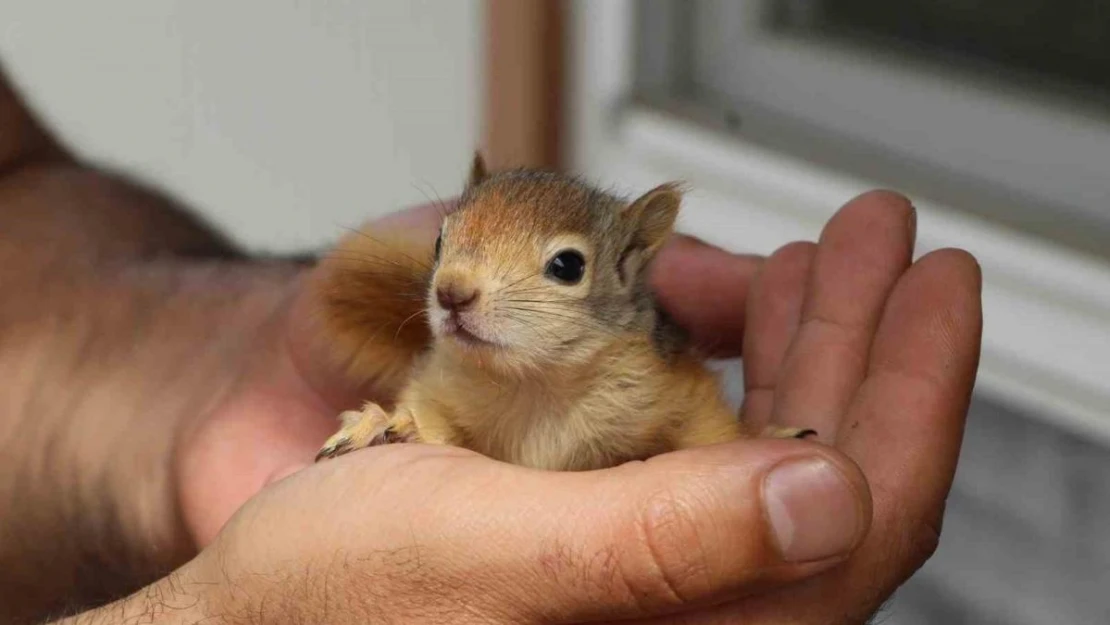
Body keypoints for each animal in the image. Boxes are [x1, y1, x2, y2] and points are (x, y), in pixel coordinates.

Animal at [313, 155, 816, 470]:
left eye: (569, 265)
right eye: (439, 240)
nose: (452, 292)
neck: (536, 382)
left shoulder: (679, 391)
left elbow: (712, 433)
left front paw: (768, 437)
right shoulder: (438, 389)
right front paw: (383, 425)